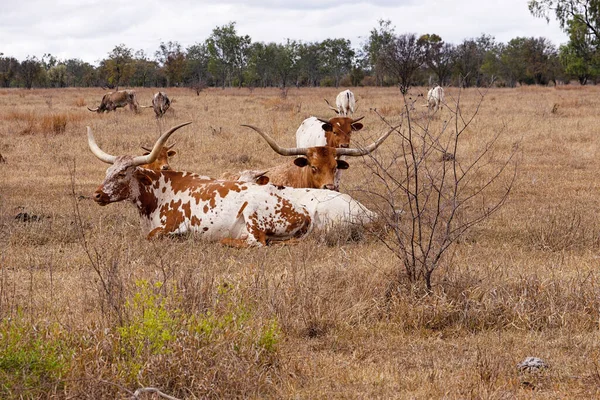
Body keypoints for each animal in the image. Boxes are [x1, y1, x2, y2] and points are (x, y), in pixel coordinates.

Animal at [90, 122, 314, 247]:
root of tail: (304, 212)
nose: (97, 195)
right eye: (108, 172)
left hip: (252, 212)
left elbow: (152, 236)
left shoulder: (171, 227)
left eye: (121, 174)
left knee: (256, 242)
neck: (159, 192)